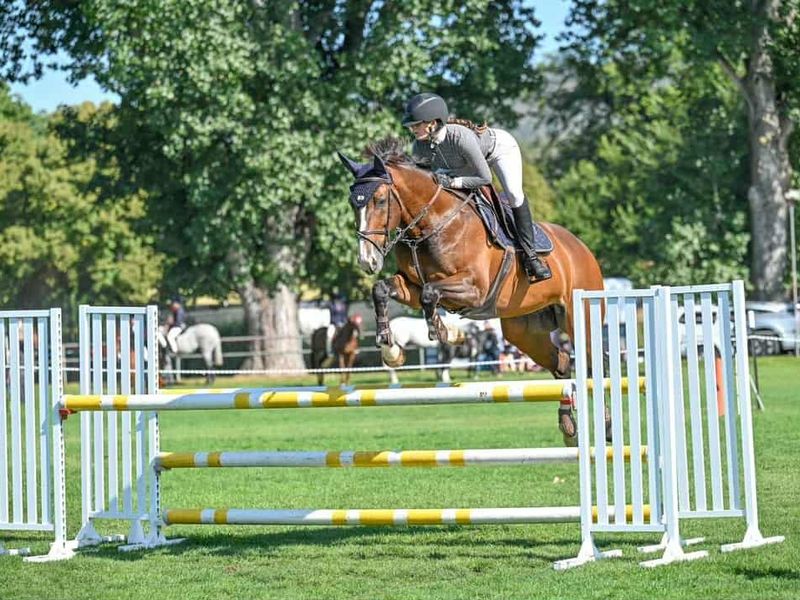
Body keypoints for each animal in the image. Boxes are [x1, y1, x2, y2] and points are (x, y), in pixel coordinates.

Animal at [338, 138, 605, 445]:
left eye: (380, 200)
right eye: (352, 203)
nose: (367, 261)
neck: (432, 223)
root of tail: (581, 248)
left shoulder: (475, 289)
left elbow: (430, 293)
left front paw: (446, 332)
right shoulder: (410, 286)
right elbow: (383, 289)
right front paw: (391, 348)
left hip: (579, 317)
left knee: (596, 366)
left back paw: (607, 426)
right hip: (523, 331)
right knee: (561, 363)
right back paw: (568, 427)